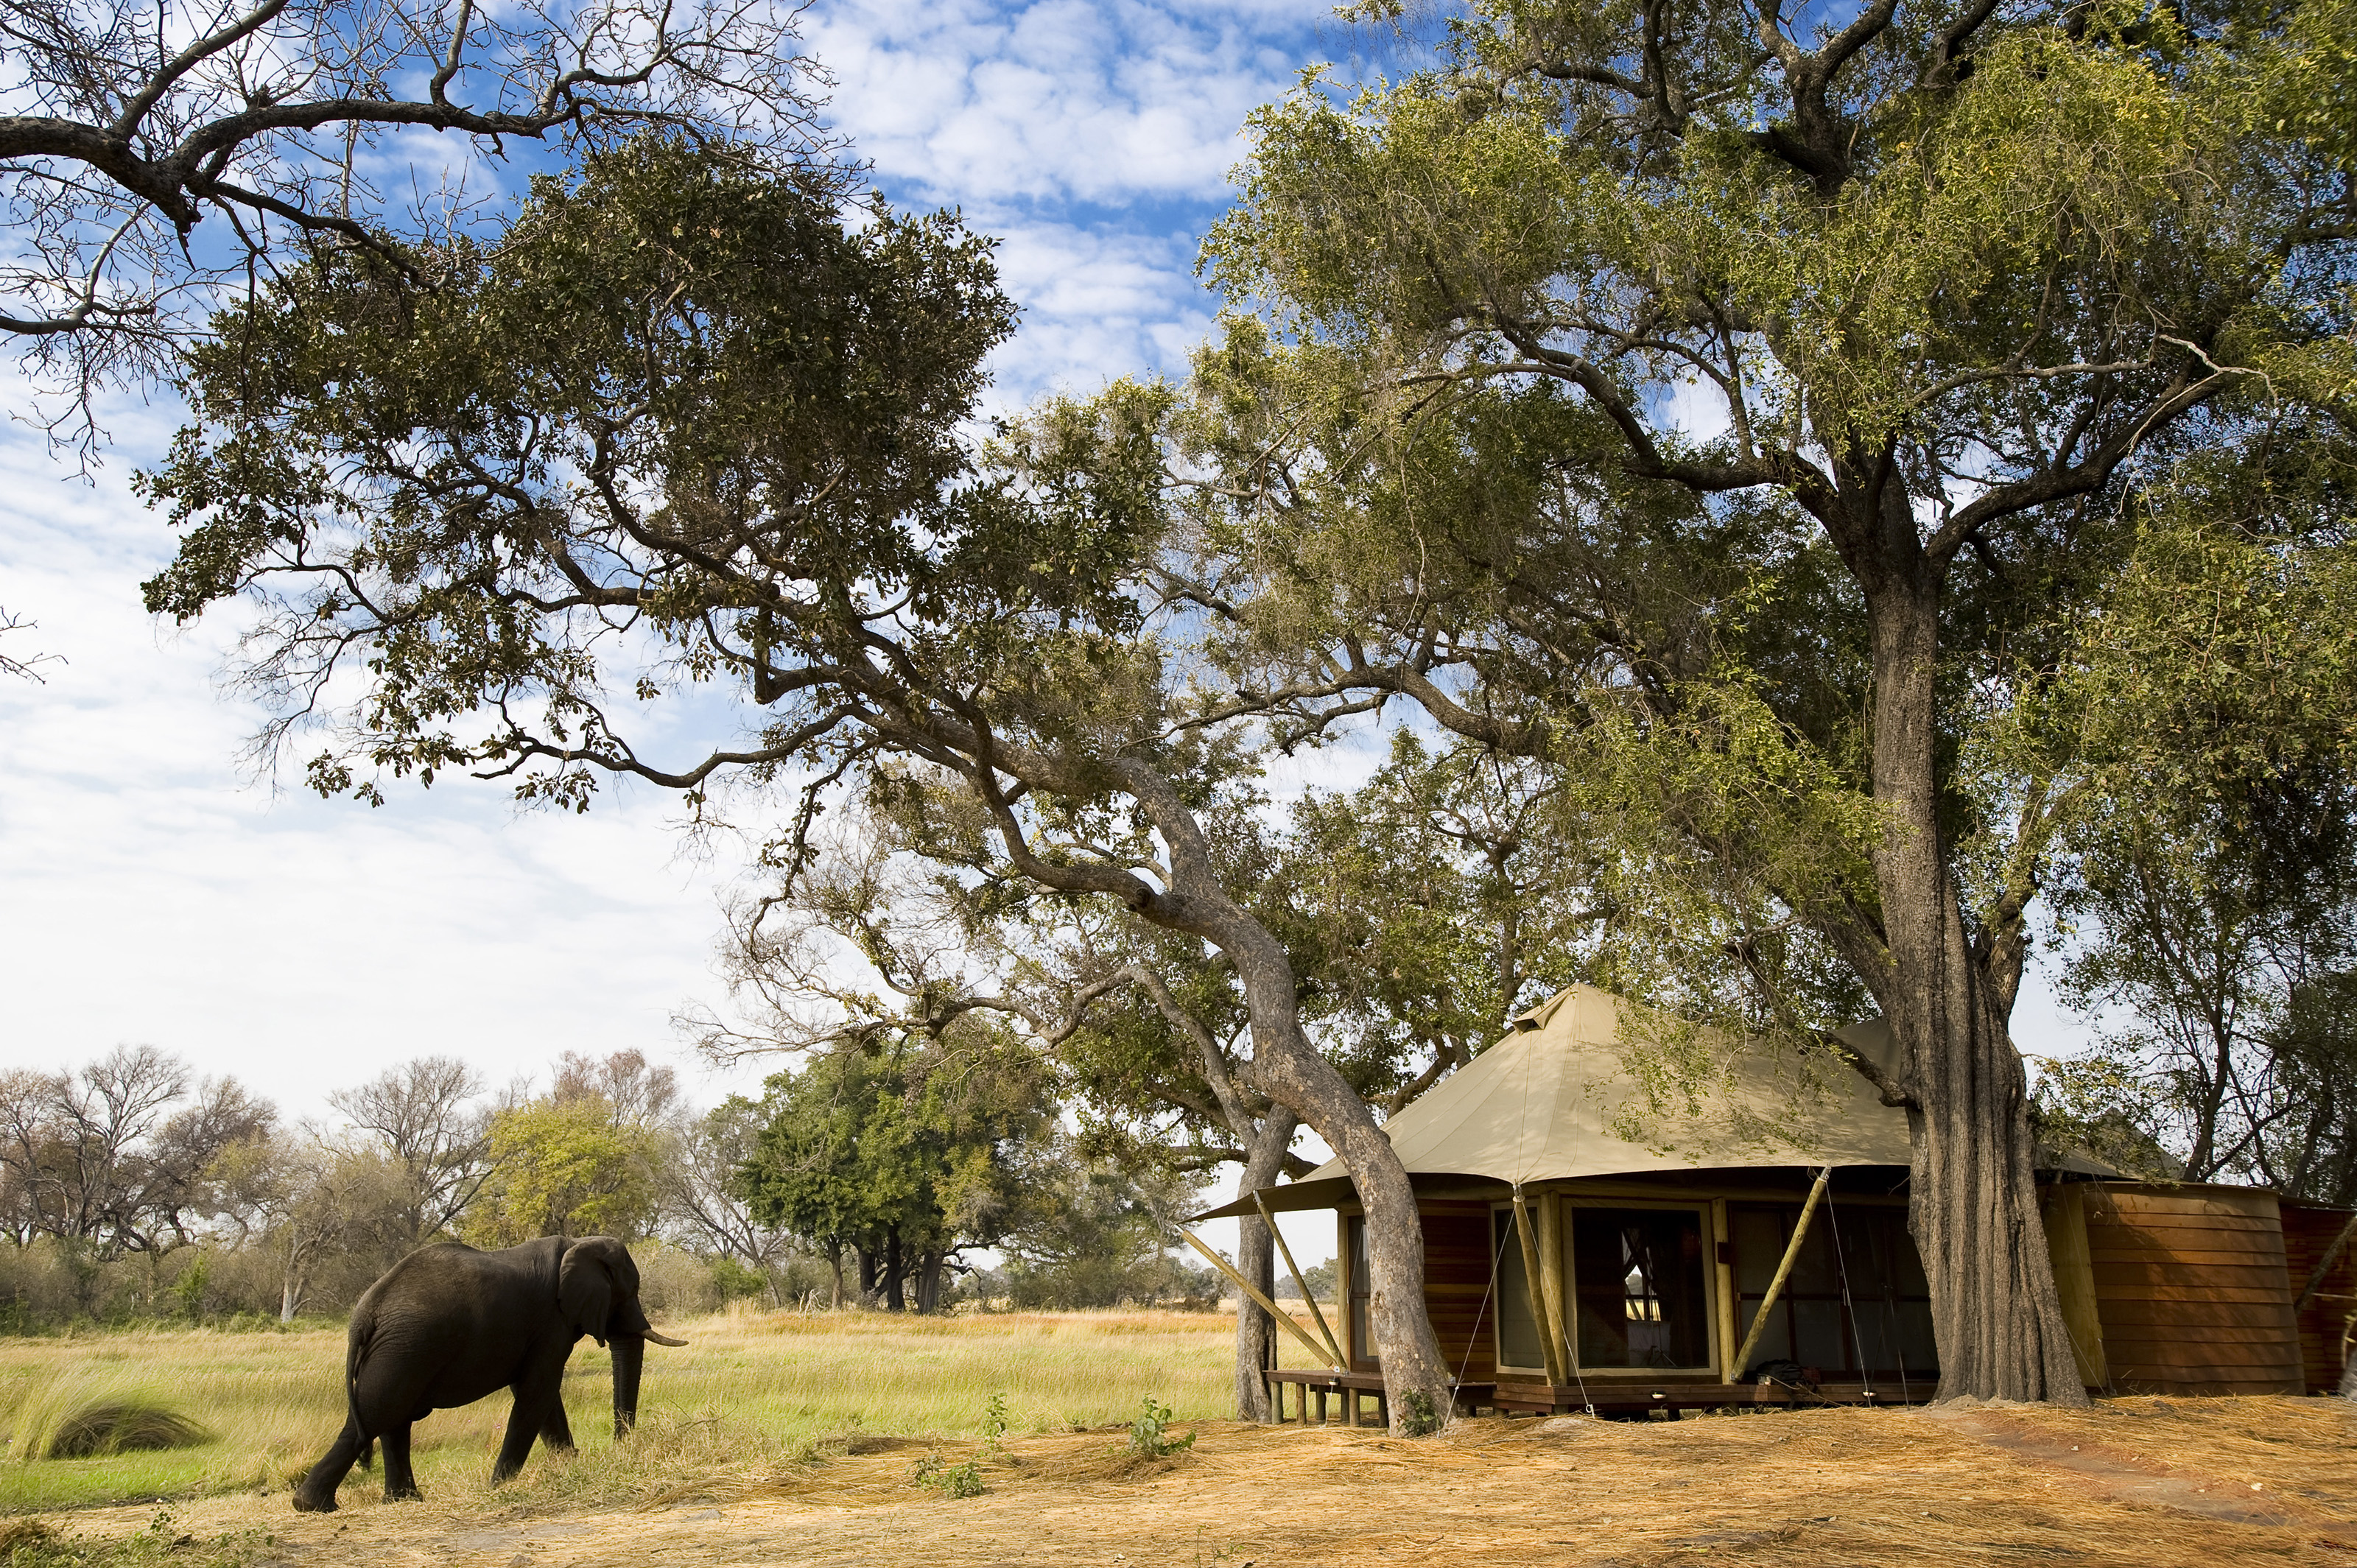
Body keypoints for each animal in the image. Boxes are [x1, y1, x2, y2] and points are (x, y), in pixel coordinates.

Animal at [292, 1234, 686, 1512]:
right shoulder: (551, 1322)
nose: (621, 1445)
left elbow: (543, 1398)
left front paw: (564, 1468)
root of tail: (364, 1313)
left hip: (400, 1350)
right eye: (631, 1290)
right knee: (376, 1414)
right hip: (406, 1349)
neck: (578, 1242)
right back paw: (314, 1506)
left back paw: (401, 1502)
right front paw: (500, 1487)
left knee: (392, 1419)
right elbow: (538, 1392)